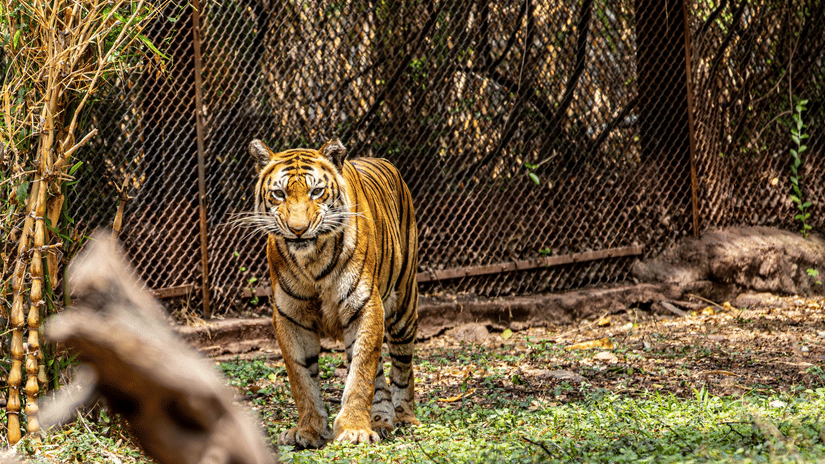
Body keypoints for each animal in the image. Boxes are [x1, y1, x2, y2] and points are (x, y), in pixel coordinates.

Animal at [246, 137, 420, 449]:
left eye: (316, 191)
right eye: (278, 194)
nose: (298, 230)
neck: (311, 260)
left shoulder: (365, 306)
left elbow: (360, 373)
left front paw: (354, 430)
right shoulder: (290, 317)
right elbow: (302, 379)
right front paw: (309, 429)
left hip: (403, 307)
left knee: (402, 366)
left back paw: (404, 417)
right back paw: (381, 420)